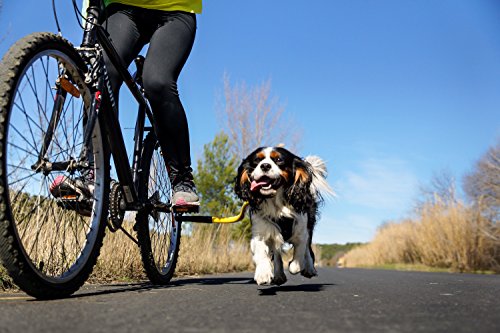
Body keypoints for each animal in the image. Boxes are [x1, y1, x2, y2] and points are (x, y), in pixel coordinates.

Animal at [234, 147, 332, 284]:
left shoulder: (301, 231)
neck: (276, 204)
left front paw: (295, 265)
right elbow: (261, 252)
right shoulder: (260, 232)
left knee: (307, 249)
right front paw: (263, 273)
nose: (265, 165)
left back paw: (309, 269)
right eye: (257, 160)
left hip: (309, 225)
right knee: (277, 251)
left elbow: (300, 254)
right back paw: (279, 274)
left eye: (279, 159)